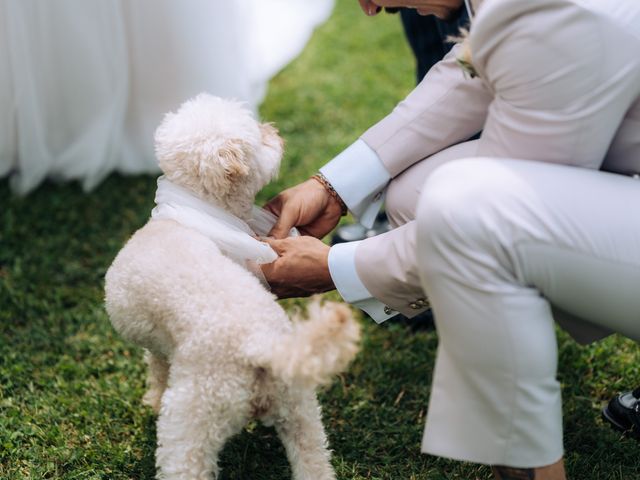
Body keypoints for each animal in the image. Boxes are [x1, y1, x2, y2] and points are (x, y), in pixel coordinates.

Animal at [102, 94, 358, 480]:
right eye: (259, 138)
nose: (274, 130)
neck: (201, 214)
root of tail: (260, 345)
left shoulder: (160, 347)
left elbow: (157, 371)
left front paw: (153, 401)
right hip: (297, 406)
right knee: (313, 459)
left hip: (194, 414)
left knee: (185, 462)